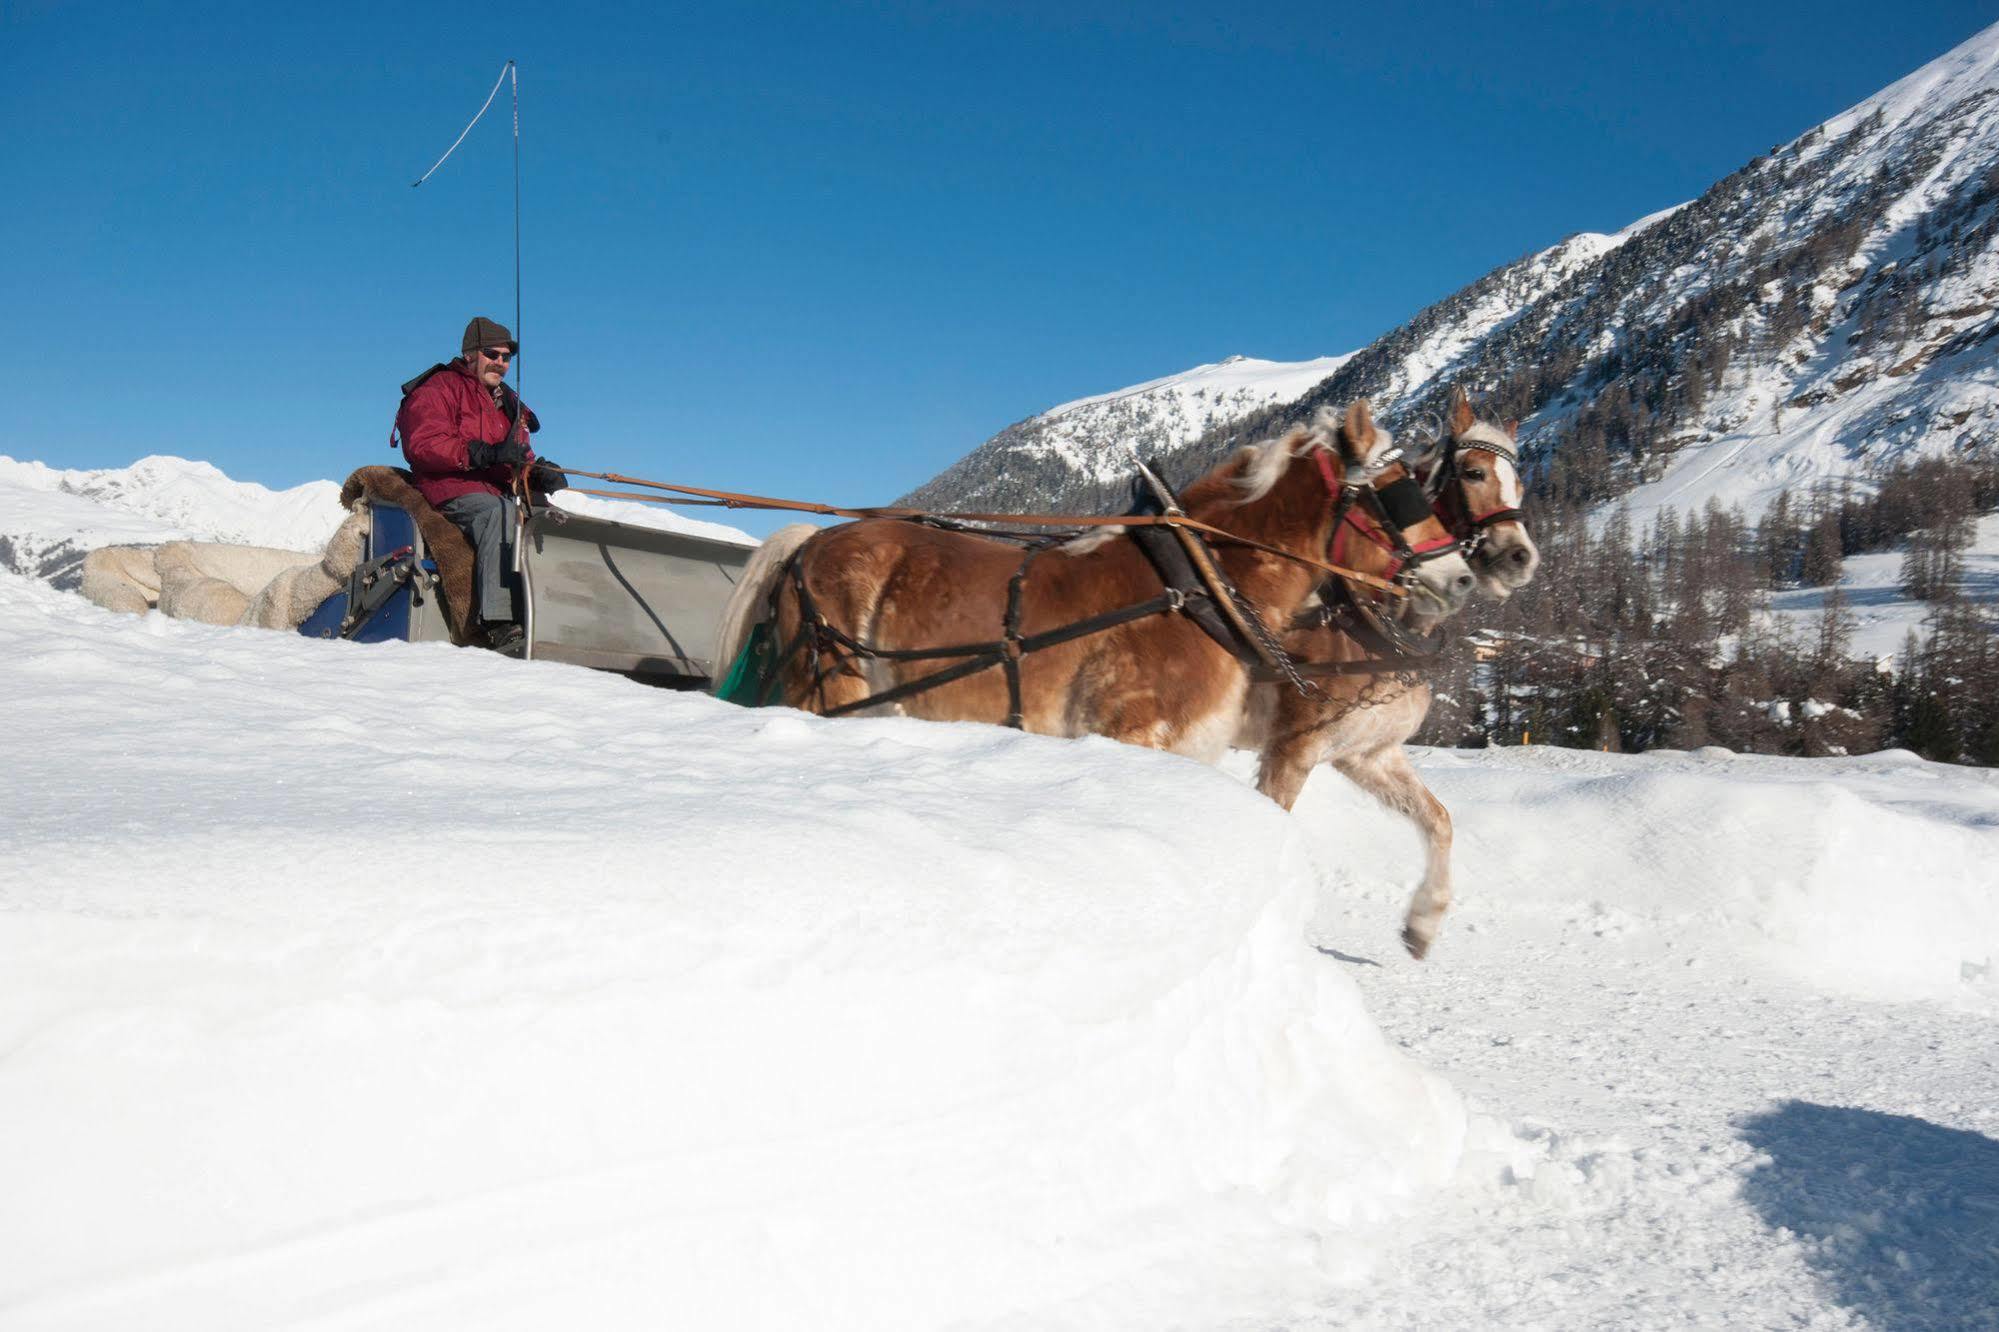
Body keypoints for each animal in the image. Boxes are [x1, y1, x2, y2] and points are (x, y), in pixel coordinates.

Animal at [711, 400, 1479, 756]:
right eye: (1397, 494)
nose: (1463, 578)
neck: (1199, 583)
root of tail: (813, 541)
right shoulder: (1130, 733)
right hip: (827, 688)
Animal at [1239, 384, 1535, 956]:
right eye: (1473, 473)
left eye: (1520, 483)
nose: (1520, 557)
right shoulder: (1291, 750)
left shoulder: (1367, 753)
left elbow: (1438, 819)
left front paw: (1424, 920)